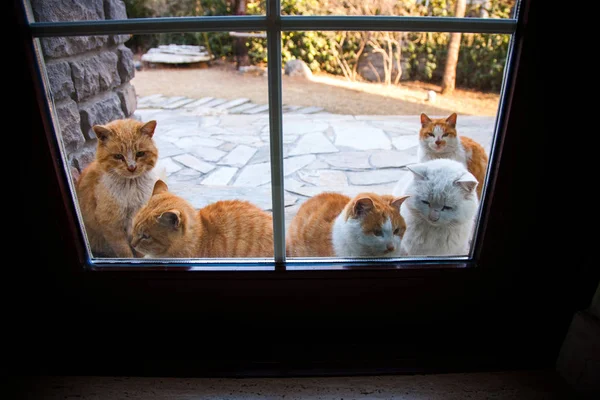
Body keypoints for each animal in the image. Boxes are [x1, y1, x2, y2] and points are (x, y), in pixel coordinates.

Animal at [74, 117, 159, 258]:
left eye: (140, 153)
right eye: (118, 156)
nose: (131, 167)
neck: (131, 188)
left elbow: (139, 250)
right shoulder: (112, 227)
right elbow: (125, 252)